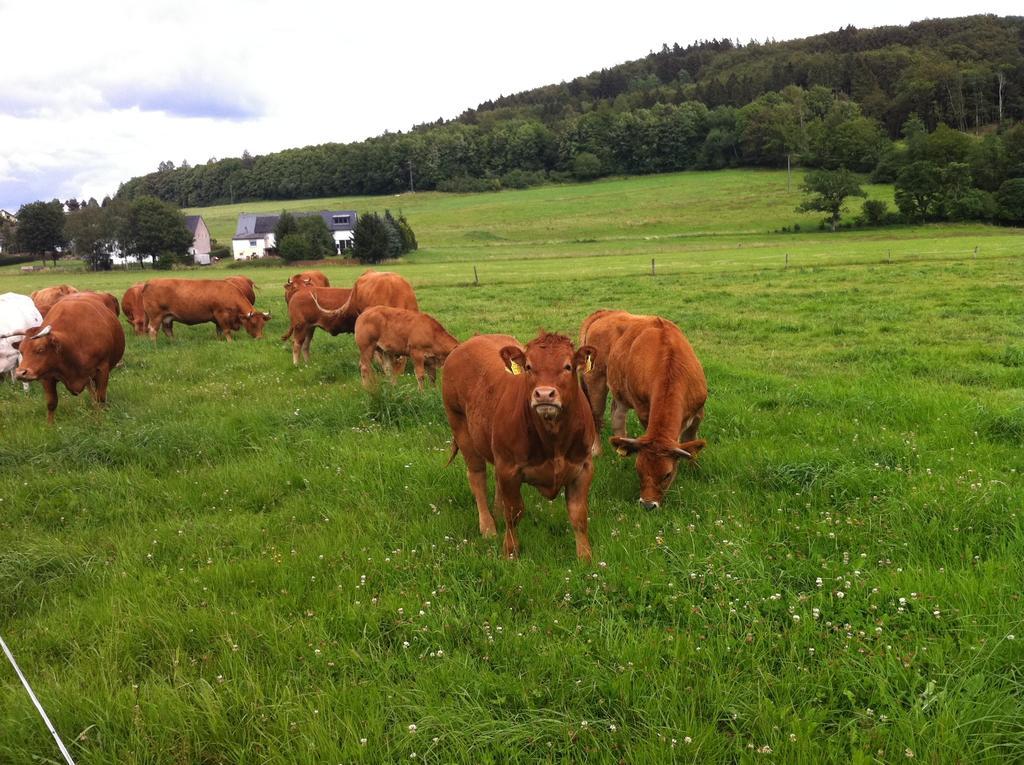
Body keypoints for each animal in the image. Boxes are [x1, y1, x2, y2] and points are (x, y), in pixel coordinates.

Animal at [12, 294, 125, 423]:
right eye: (21, 351)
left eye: (41, 349)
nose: (20, 373)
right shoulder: (47, 377)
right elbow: (51, 403)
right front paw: (50, 425)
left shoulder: (102, 369)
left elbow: (100, 397)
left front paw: (101, 416)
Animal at [144, 278, 274, 342]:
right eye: (253, 323)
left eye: (262, 325)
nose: (259, 338)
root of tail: (149, 282)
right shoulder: (221, 315)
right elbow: (226, 330)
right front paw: (230, 342)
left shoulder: (217, 320)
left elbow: (219, 331)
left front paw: (219, 341)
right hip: (155, 316)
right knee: (152, 330)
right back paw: (154, 344)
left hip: (167, 317)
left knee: (168, 330)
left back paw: (174, 342)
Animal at [442, 331, 598, 561]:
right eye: (529, 366)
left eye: (568, 366)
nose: (544, 394)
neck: (553, 440)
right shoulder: (509, 469)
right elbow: (514, 513)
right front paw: (510, 551)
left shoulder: (583, 467)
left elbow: (579, 515)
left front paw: (585, 557)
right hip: (461, 427)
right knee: (477, 477)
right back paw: (488, 526)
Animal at [581, 307, 708, 512]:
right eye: (638, 470)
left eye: (667, 474)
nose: (648, 505)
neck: (670, 366)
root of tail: (606, 312)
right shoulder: (644, 410)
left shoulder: (698, 413)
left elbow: (691, 442)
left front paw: (694, 468)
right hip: (596, 378)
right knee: (596, 416)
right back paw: (597, 451)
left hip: (619, 388)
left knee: (617, 414)